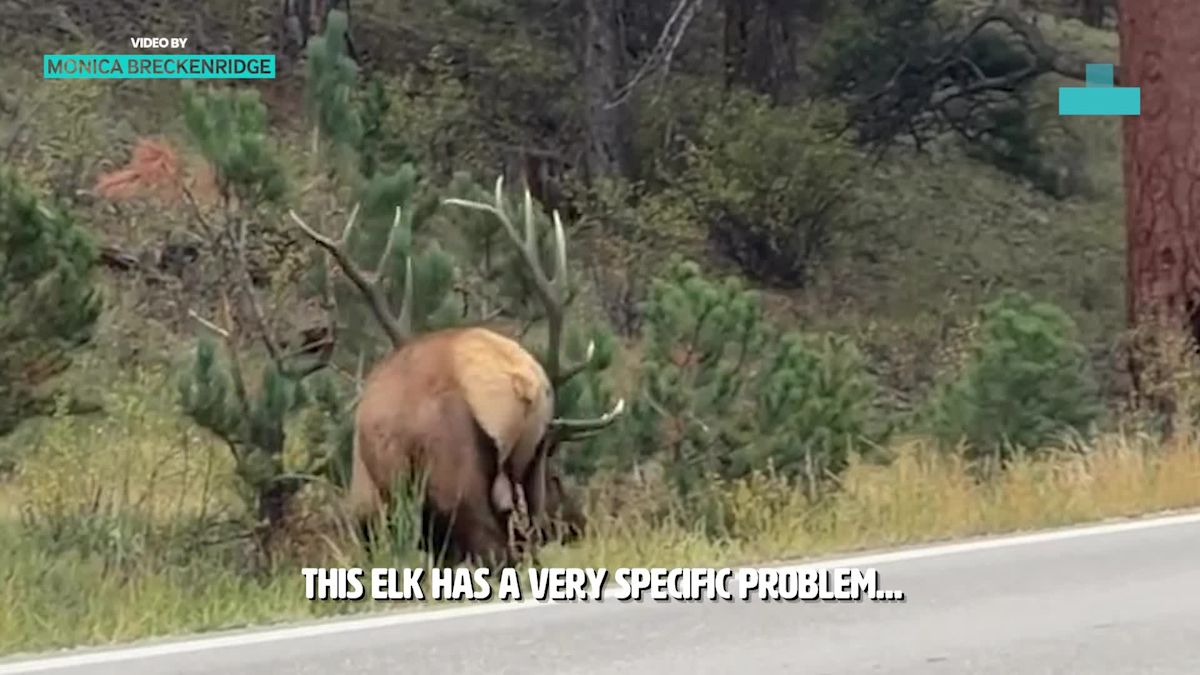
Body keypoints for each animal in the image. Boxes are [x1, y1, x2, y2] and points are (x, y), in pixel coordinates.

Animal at [287, 177, 624, 566]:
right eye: (557, 474)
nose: (577, 523)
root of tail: (523, 384)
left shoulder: (377, 510)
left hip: (455, 478)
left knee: (495, 550)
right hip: (527, 480)